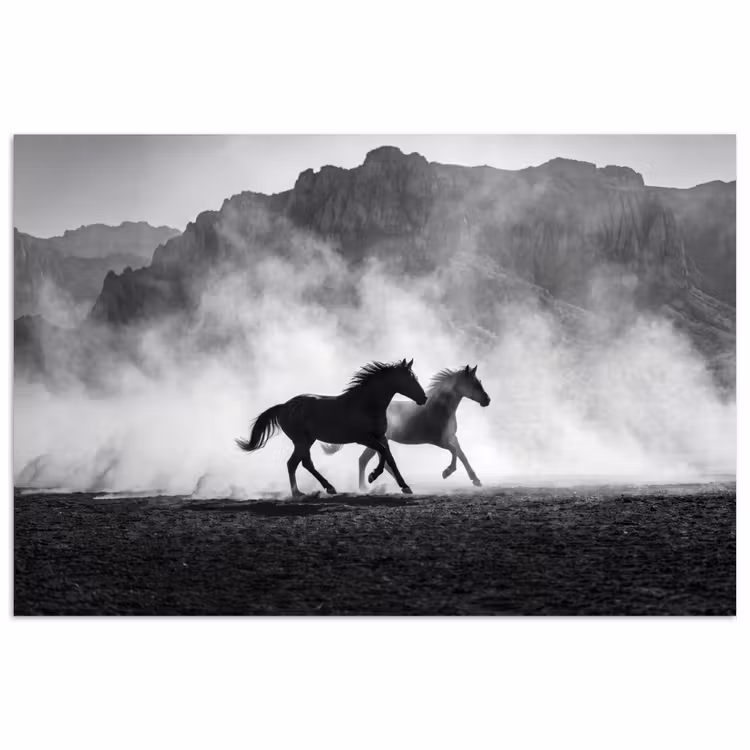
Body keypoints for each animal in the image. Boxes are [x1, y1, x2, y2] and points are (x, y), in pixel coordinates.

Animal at [235, 359, 427, 497]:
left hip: (307, 441)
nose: (423, 398)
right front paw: (373, 476)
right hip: (302, 441)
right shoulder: (364, 438)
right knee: (297, 463)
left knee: (299, 463)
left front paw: (405, 486)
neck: (366, 404)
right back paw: (309, 491)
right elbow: (384, 453)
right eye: (410, 378)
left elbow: (390, 458)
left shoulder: (381, 436)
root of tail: (283, 406)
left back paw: (315, 490)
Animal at [323, 365, 490, 489]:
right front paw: (446, 472)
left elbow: (462, 455)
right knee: (365, 460)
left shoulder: (452, 437)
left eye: (480, 381)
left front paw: (476, 480)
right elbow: (455, 452)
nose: (487, 400)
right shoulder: (438, 441)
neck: (439, 409)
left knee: (373, 460)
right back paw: (367, 486)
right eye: (475, 384)